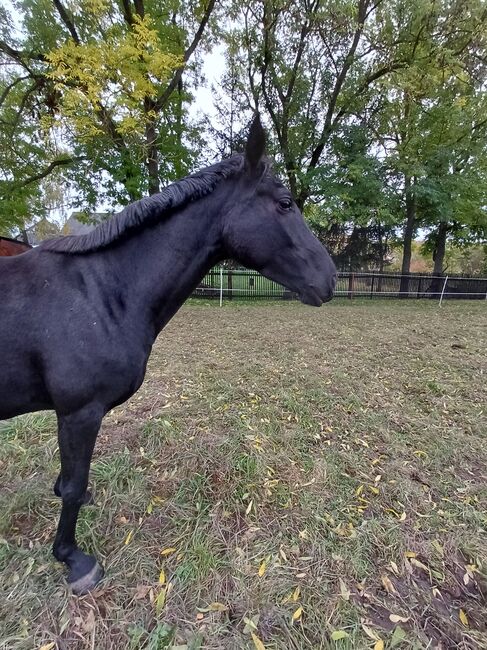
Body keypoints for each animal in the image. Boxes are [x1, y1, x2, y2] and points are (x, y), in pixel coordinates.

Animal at [0, 116, 336, 592]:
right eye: (285, 203)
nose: (330, 278)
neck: (100, 292)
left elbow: (71, 482)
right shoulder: (79, 412)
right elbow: (73, 486)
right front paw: (73, 559)